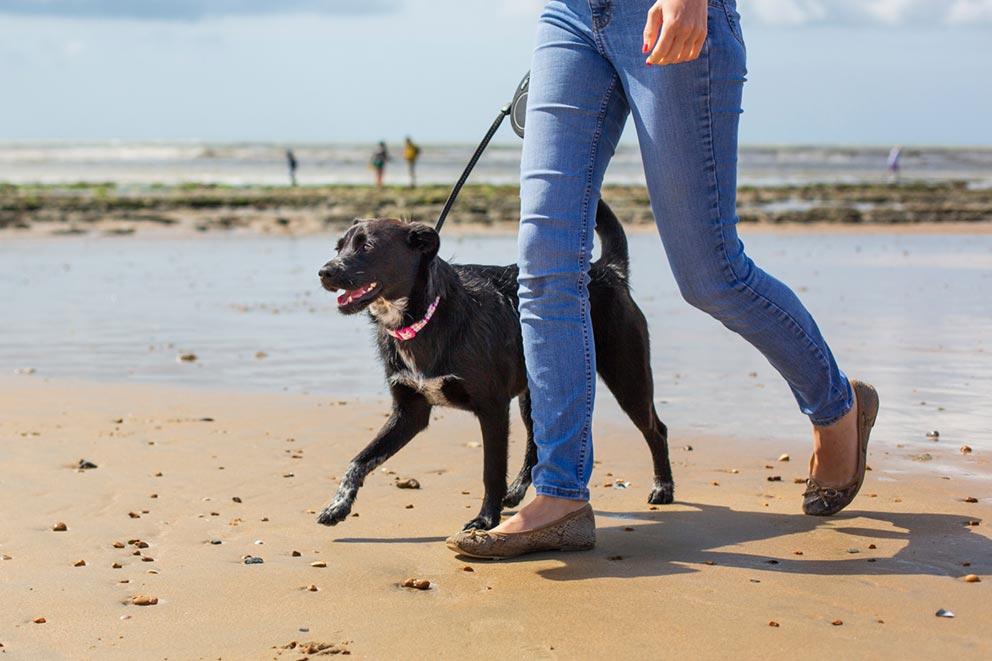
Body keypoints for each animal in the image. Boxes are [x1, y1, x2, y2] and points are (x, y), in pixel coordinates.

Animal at [318, 201, 676, 532]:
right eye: (339, 247)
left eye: (367, 246)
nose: (324, 272)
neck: (424, 316)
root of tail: (608, 271)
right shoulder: (410, 412)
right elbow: (359, 460)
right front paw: (338, 505)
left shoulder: (492, 408)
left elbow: (491, 470)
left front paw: (485, 520)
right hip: (536, 393)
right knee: (536, 445)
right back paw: (516, 492)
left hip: (628, 378)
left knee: (656, 429)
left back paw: (663, 487)